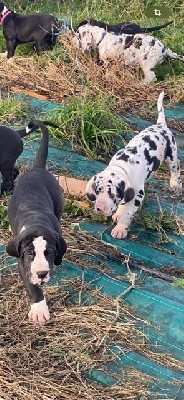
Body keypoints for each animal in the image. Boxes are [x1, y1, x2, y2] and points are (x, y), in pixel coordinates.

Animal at [6, 119, 67, 324]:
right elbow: (32, 285)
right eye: (30, 254)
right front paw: (39, 309)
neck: (36, 221)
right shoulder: (23, 263)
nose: (42, 274)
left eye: (49, 252)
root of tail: (37, 169)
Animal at [86, 92, 183, 239]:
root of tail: (161, 125)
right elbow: (124, 203)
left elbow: (127, 213)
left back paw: (175, 185)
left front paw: (120, 228)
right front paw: (118, 213)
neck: (123, 165)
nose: (99, 208)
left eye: (112, 194)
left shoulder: (138, 195)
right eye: (97, 191)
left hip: (171, 156)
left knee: (176, 167)